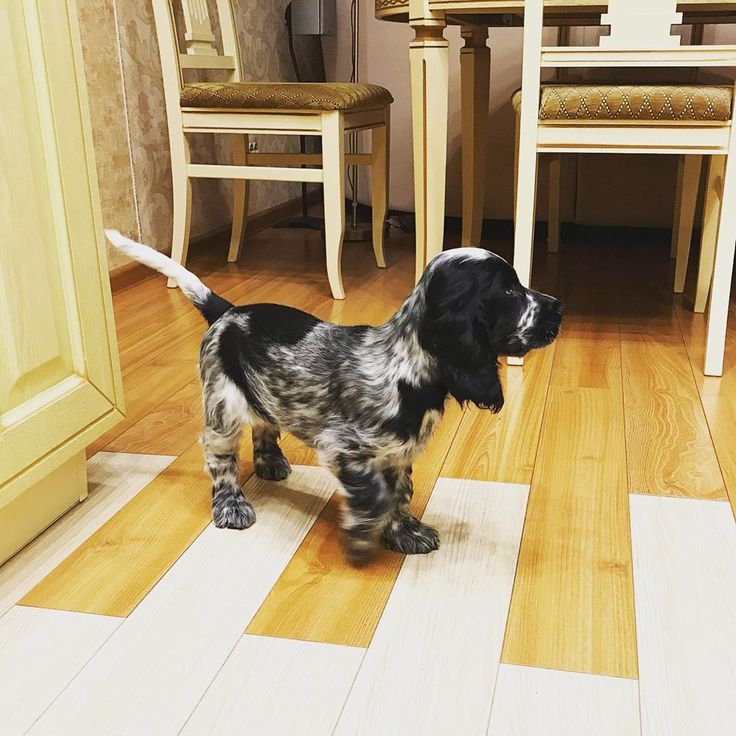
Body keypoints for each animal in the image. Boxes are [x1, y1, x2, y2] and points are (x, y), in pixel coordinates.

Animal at [105, 230, 564, 564]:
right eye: (508, 292)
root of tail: (228, 311)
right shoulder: (343, 448)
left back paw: (270, 463)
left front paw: (405, 533)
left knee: (265, 423)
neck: (405, 365)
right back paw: (231, 505)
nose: (559, 307)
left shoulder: (398, 453)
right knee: (220, 459)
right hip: (223, 404)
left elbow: (400, 493)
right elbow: (376, 496)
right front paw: (360, 539)